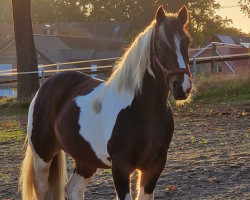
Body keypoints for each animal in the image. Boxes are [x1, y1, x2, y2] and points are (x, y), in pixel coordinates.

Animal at [20, 5, 191, 200]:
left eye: (187, 42)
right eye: (161, 44)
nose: (182, 87)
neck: (145, 111)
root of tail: (46, 85)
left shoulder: (154, 166)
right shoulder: (120, 166)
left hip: (86, 159)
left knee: (73, 188)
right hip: (42, 156)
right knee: (43, 189)